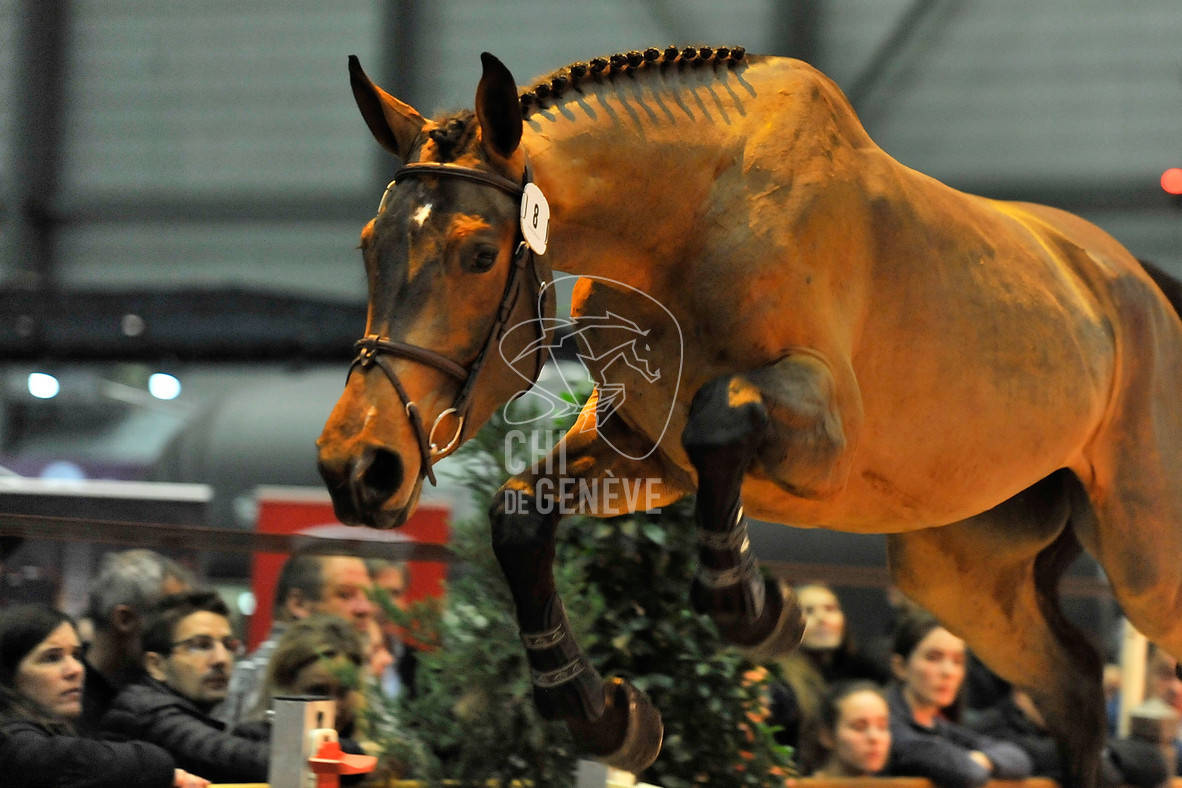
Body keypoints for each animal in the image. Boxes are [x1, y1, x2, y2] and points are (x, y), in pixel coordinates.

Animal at [319, 46, 1182, 784]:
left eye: (478, 254)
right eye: (368, 246)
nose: (357, 468)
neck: (690, 219)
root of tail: (1144, 287)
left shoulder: (827, 440)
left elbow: (721, 416)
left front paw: (759, 609)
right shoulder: (644, 454)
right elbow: (522, 515)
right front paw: (607, 717)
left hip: (1146, 565)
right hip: (960, 575)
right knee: (1076, 687)